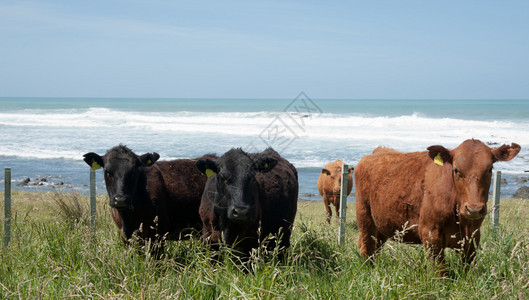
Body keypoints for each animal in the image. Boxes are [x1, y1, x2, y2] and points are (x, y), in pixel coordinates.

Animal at [354, 139, 520, 274]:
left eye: (489, 169)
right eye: (456, 169)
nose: (474, 209)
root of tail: (377, 152)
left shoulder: (473, 235)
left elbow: (467, 268)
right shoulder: (430, 233)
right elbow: (441, 272)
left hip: (382, 224)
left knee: (375, 248)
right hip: (364, 217)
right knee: (366, 248)